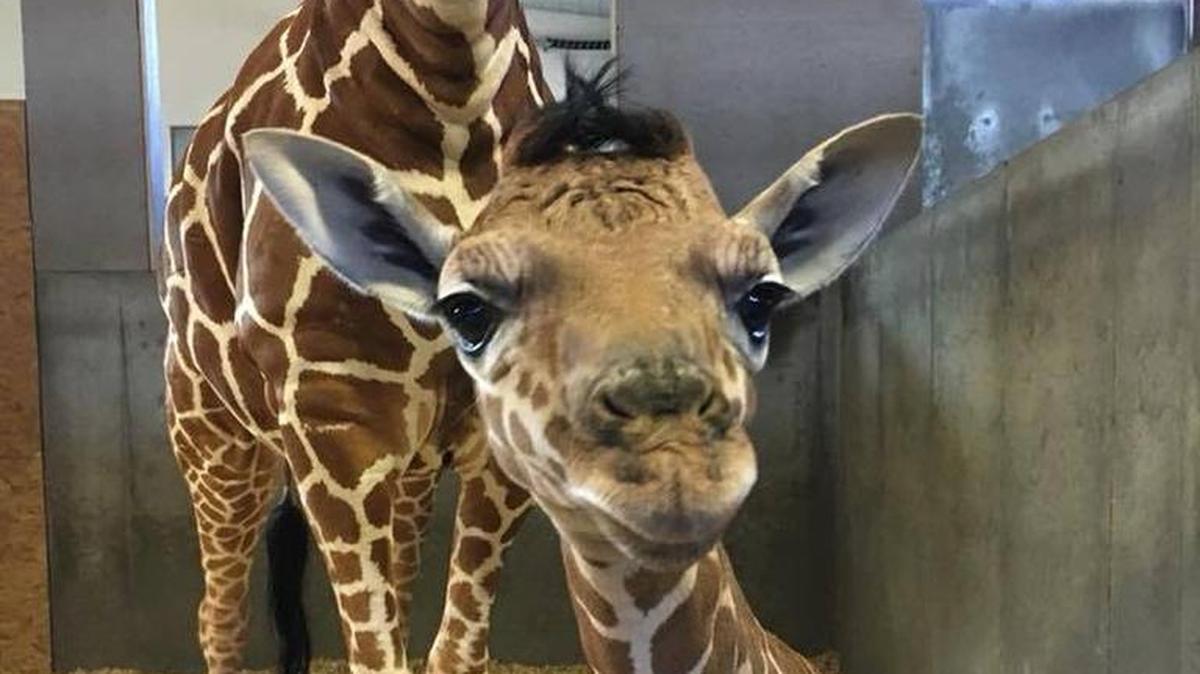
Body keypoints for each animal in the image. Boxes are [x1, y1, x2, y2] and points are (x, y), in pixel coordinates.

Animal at [158, 1, 552, 672]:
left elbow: (454, 650)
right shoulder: (333, 412)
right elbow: (375, 652)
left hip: (410, 462)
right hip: (215, 437)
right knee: (219, 616)